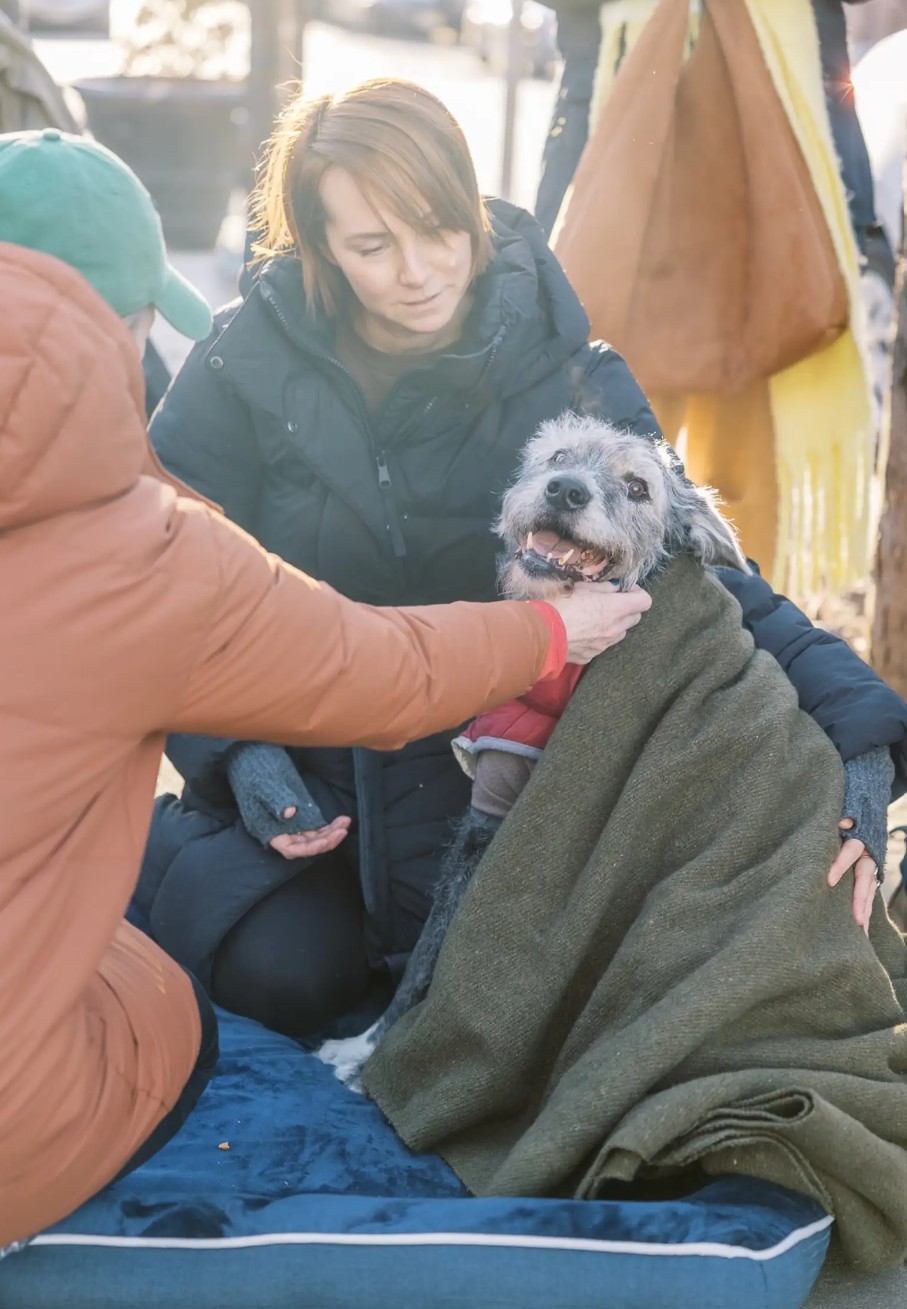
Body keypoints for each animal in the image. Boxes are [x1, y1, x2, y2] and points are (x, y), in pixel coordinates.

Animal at [315, 416, 748, 1083]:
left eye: (638, 487)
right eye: (559, 455)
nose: (566, 490)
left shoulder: (493, 818)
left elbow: (430, 954)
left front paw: (368, 1059)